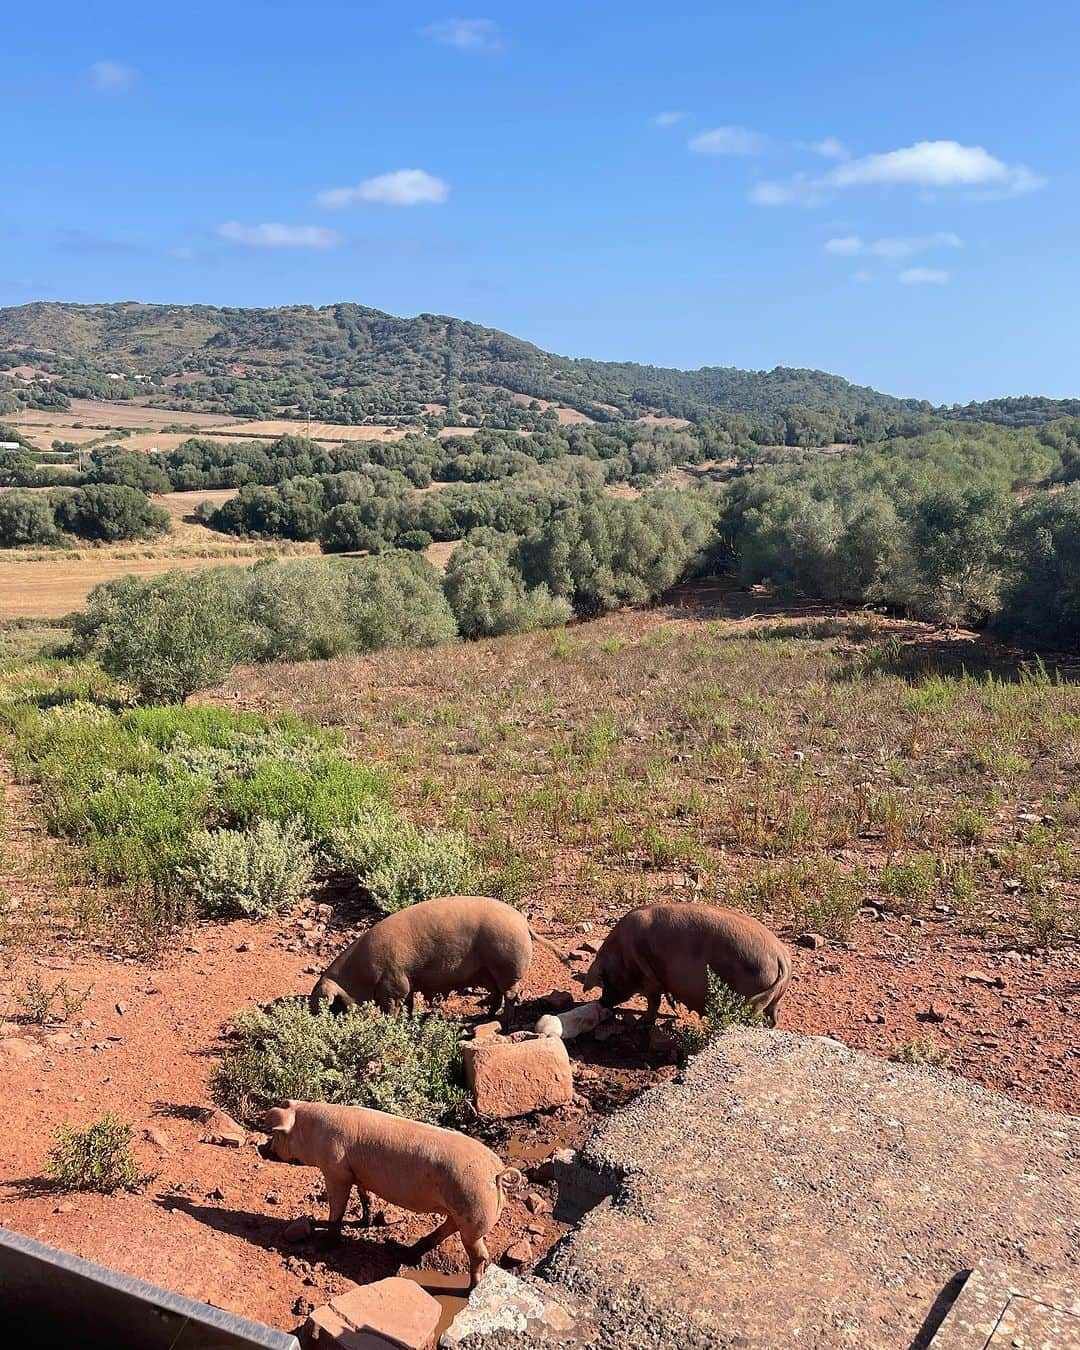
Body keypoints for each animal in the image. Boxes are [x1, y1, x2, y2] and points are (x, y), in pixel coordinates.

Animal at [257, 1101, 518, 1279]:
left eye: (276, 1135)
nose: (261, 1149)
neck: (312, 1134)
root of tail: (497, 1173)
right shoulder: (358, 1174)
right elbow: (365, 1197)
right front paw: (365, 1222)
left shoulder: (336, 1171)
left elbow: (337, 1209)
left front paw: (324, 1244)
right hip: (463, 1212)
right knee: (449, 1228)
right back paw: (409, 1252)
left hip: (474, 1210)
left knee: (479, 1254)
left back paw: (471, 1289)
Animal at [311, 896, 548, 1020]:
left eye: (330, 1005)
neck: (362, 974)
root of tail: (523, 923)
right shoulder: (406, 984)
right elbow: (409, 1005)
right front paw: (408, 1021)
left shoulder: (393, 985)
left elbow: (394, 1009)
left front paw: (390, 1025)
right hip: (488, 973)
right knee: (497, 994)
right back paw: (487, 1018)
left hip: (507, 965)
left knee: (511, 995)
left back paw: (503, 1023)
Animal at [583, 907, 793, 1020]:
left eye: (605, 979)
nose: (602, 1001)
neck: (622, 956)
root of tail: (781, 957)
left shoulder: (650, 978)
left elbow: (654, 1002)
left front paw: (641, 1021)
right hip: (775, 999)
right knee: (773, 1019)